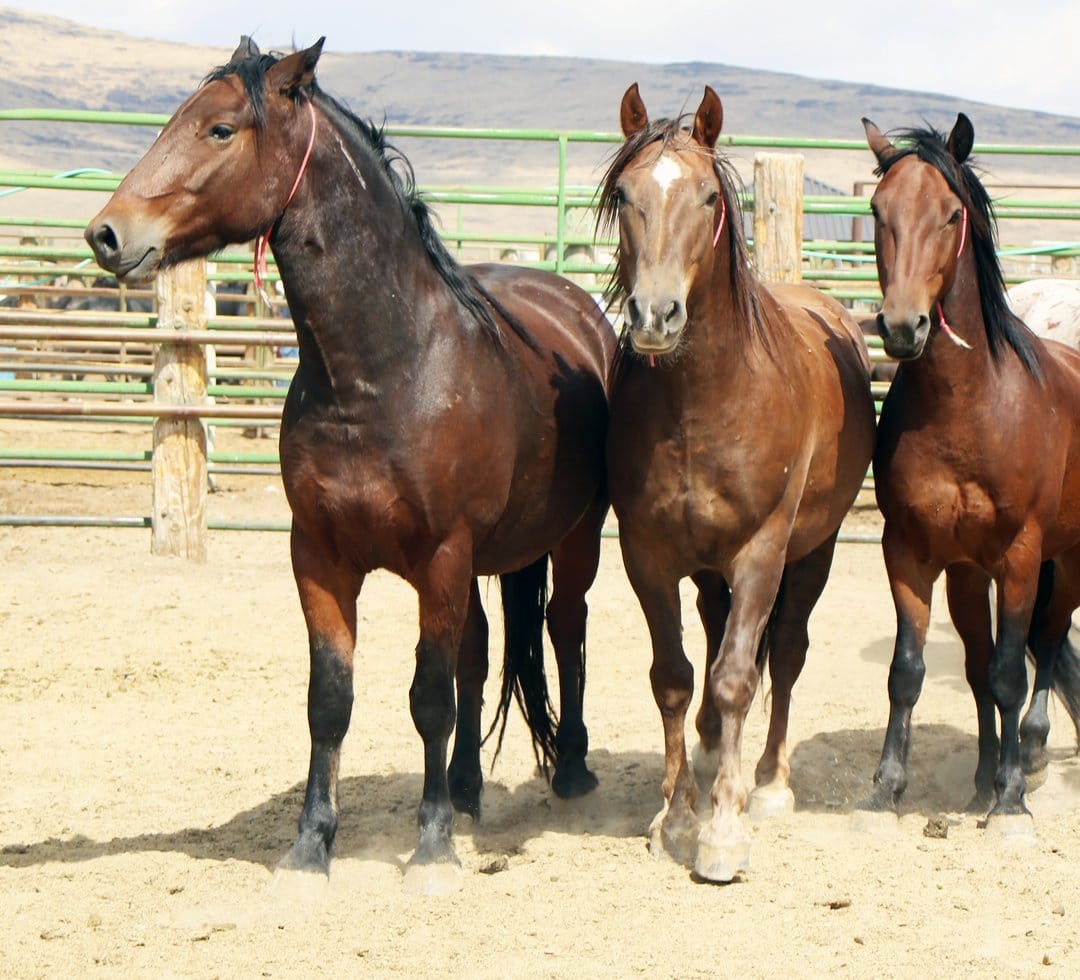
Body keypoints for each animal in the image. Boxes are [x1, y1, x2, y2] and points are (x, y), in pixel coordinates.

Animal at [84, 37, 615, 893]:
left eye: (221, 129)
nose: (106, 234)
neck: (382, 370)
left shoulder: (441, 555)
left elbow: (429, 698)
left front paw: (429, 849)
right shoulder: (321, 556)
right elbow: (331, 700)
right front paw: (311, 845)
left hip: (573, 539)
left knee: (565, 630)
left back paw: (568, 772)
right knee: (478, 655)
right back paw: (466, 791)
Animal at [600, 83, 875, 882]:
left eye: (705, 197)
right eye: (625, 194)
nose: (656, 314)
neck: (704, 400)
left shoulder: (761, 551)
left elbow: (737, 678)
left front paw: (722, 830)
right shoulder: (647, 555)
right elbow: (674, 675)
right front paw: (678, 814)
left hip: (811, 552)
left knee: (781, 653)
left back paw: (770, 782)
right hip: (707, 570)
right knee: (719, 639)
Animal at [859, 113, 1080, 833]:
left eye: (952, 213)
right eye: (877, 210)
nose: (903, 326)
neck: (969, 408)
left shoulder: (1020, 556)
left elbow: (1013, 669)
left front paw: (1010, 801)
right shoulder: (910, 551)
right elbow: (910, 669)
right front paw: (887, 787)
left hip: (1065, 561)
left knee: (1046, 643)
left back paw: (1029, 753)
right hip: (967, 574)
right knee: (983, 664)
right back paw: (984, 777)